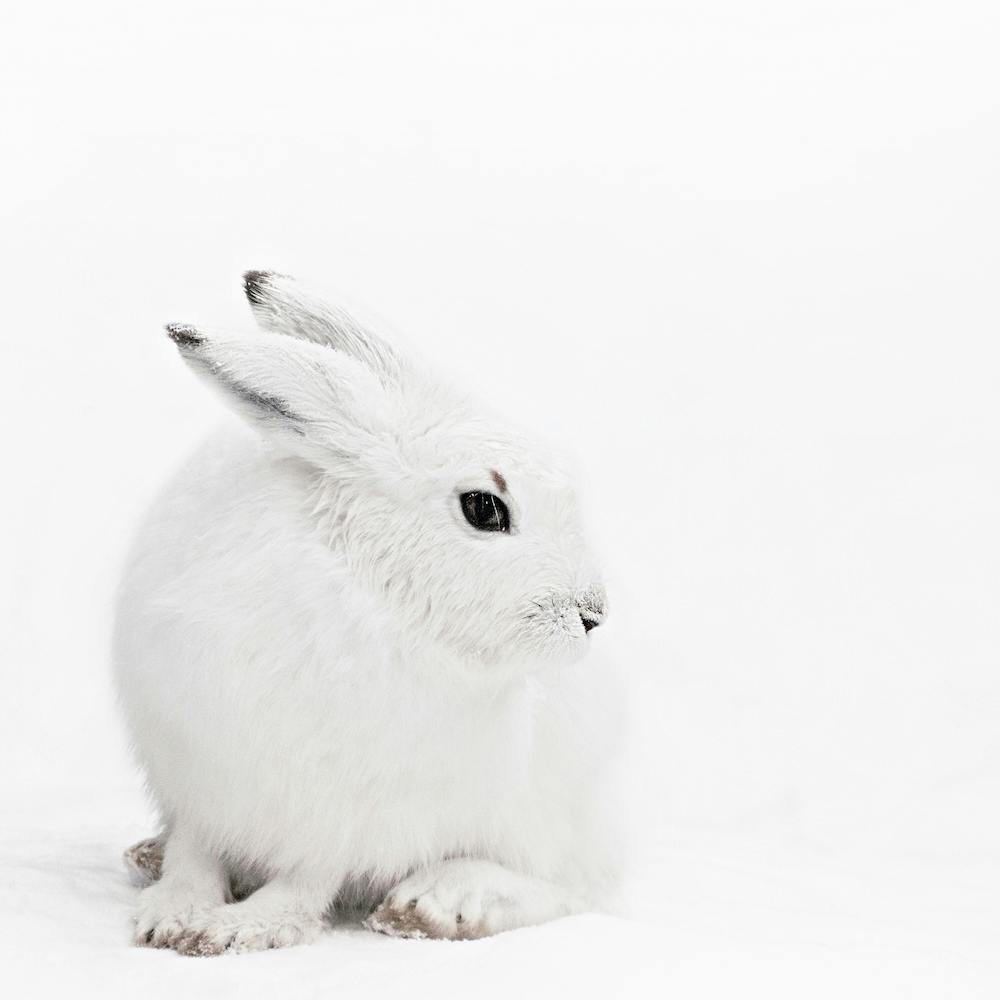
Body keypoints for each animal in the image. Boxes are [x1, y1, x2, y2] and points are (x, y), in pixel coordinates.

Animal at [113, 271, 625, 955]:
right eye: (484, 508)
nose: (592, 613)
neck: (369, 594)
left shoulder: (355, 815)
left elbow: (308, 879)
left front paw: (237, 928)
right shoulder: (200, 777)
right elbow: (197, 853)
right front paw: (172, 913)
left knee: (569, 888)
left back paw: (438, 905)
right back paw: (148, 854)